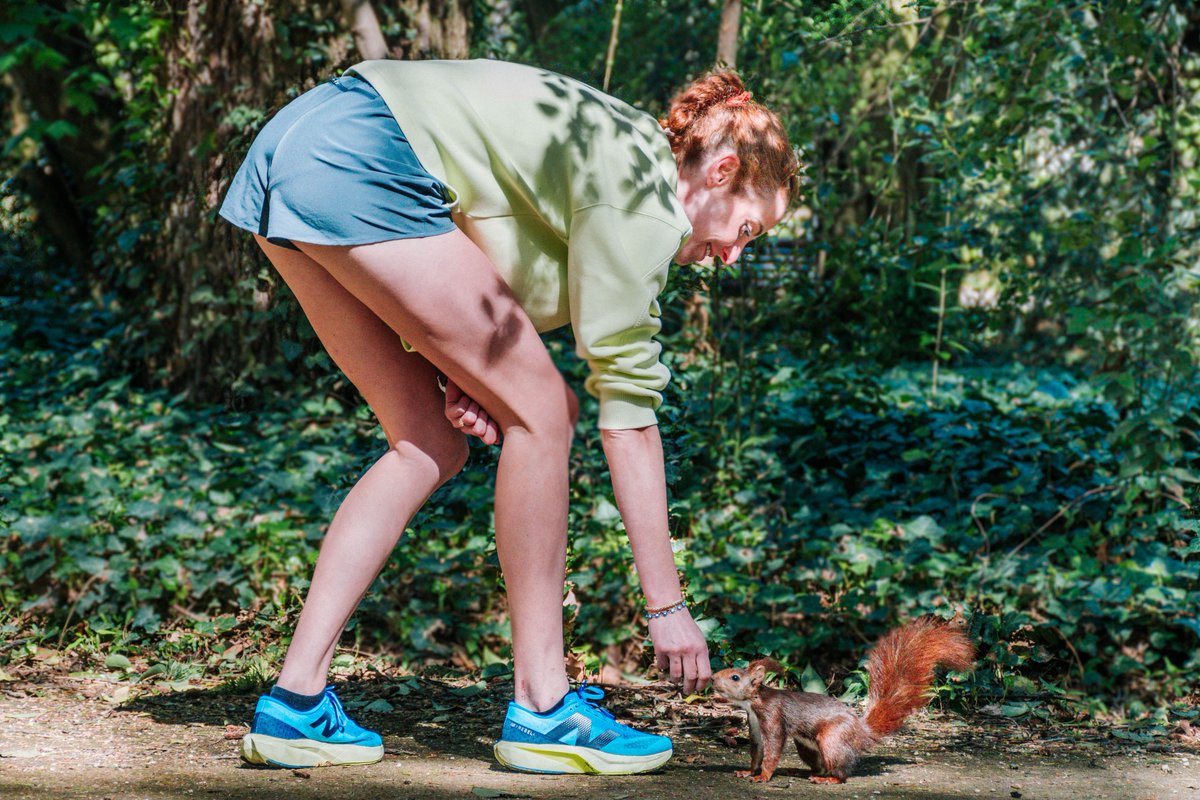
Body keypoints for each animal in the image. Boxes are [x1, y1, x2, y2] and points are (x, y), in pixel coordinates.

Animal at [710, 618, 974, 786]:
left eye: (735, 677)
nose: (711, 678)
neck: (754, 702)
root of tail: (861, 732)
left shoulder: (773, 716)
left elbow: (773, 748)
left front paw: (763, 776)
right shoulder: (754, 724)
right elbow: (757, 750)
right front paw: (748, 771)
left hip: (832, 738)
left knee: (842, 773)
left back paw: (827, 779)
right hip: (807, 746)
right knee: (820, 764)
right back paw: (804, 770)